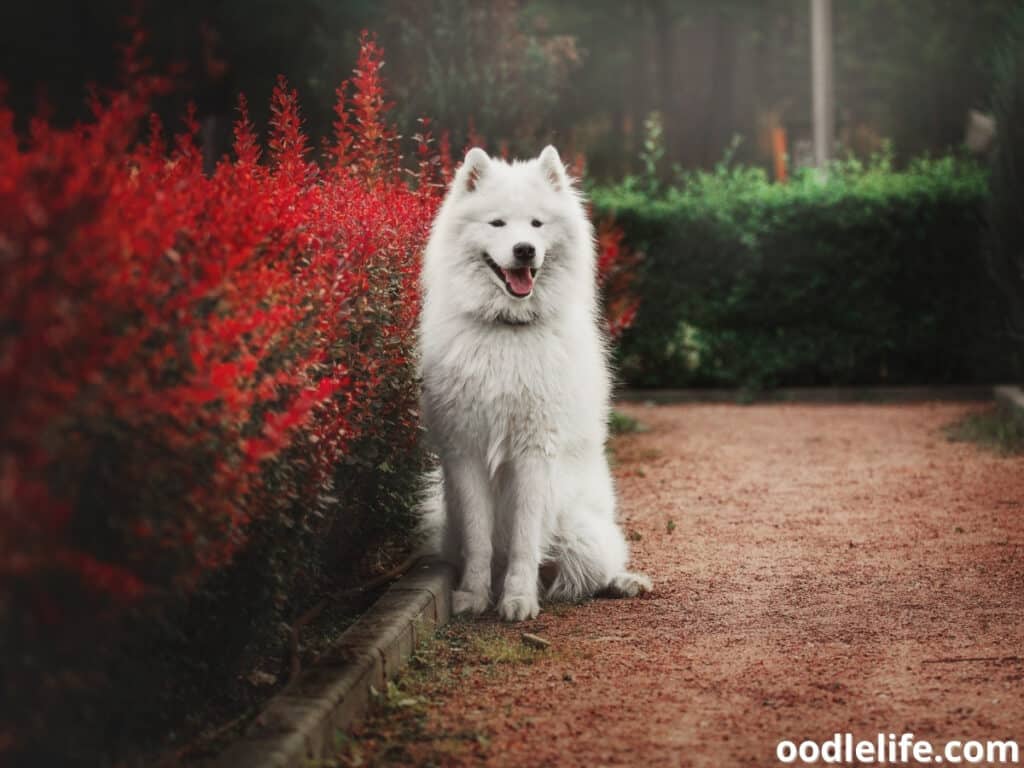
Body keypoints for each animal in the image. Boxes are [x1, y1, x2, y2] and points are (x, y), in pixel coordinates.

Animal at [417, 145, 647, 626]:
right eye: (498, 224)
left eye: (537, 224)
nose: (524, 250)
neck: (508, 330)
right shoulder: (465, 452)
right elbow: (480, 539)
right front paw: (473, 596)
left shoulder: (534, 451)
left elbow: (525, 538)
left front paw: (519, 599)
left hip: (581, 535)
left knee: (589, 572)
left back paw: (622, 581)